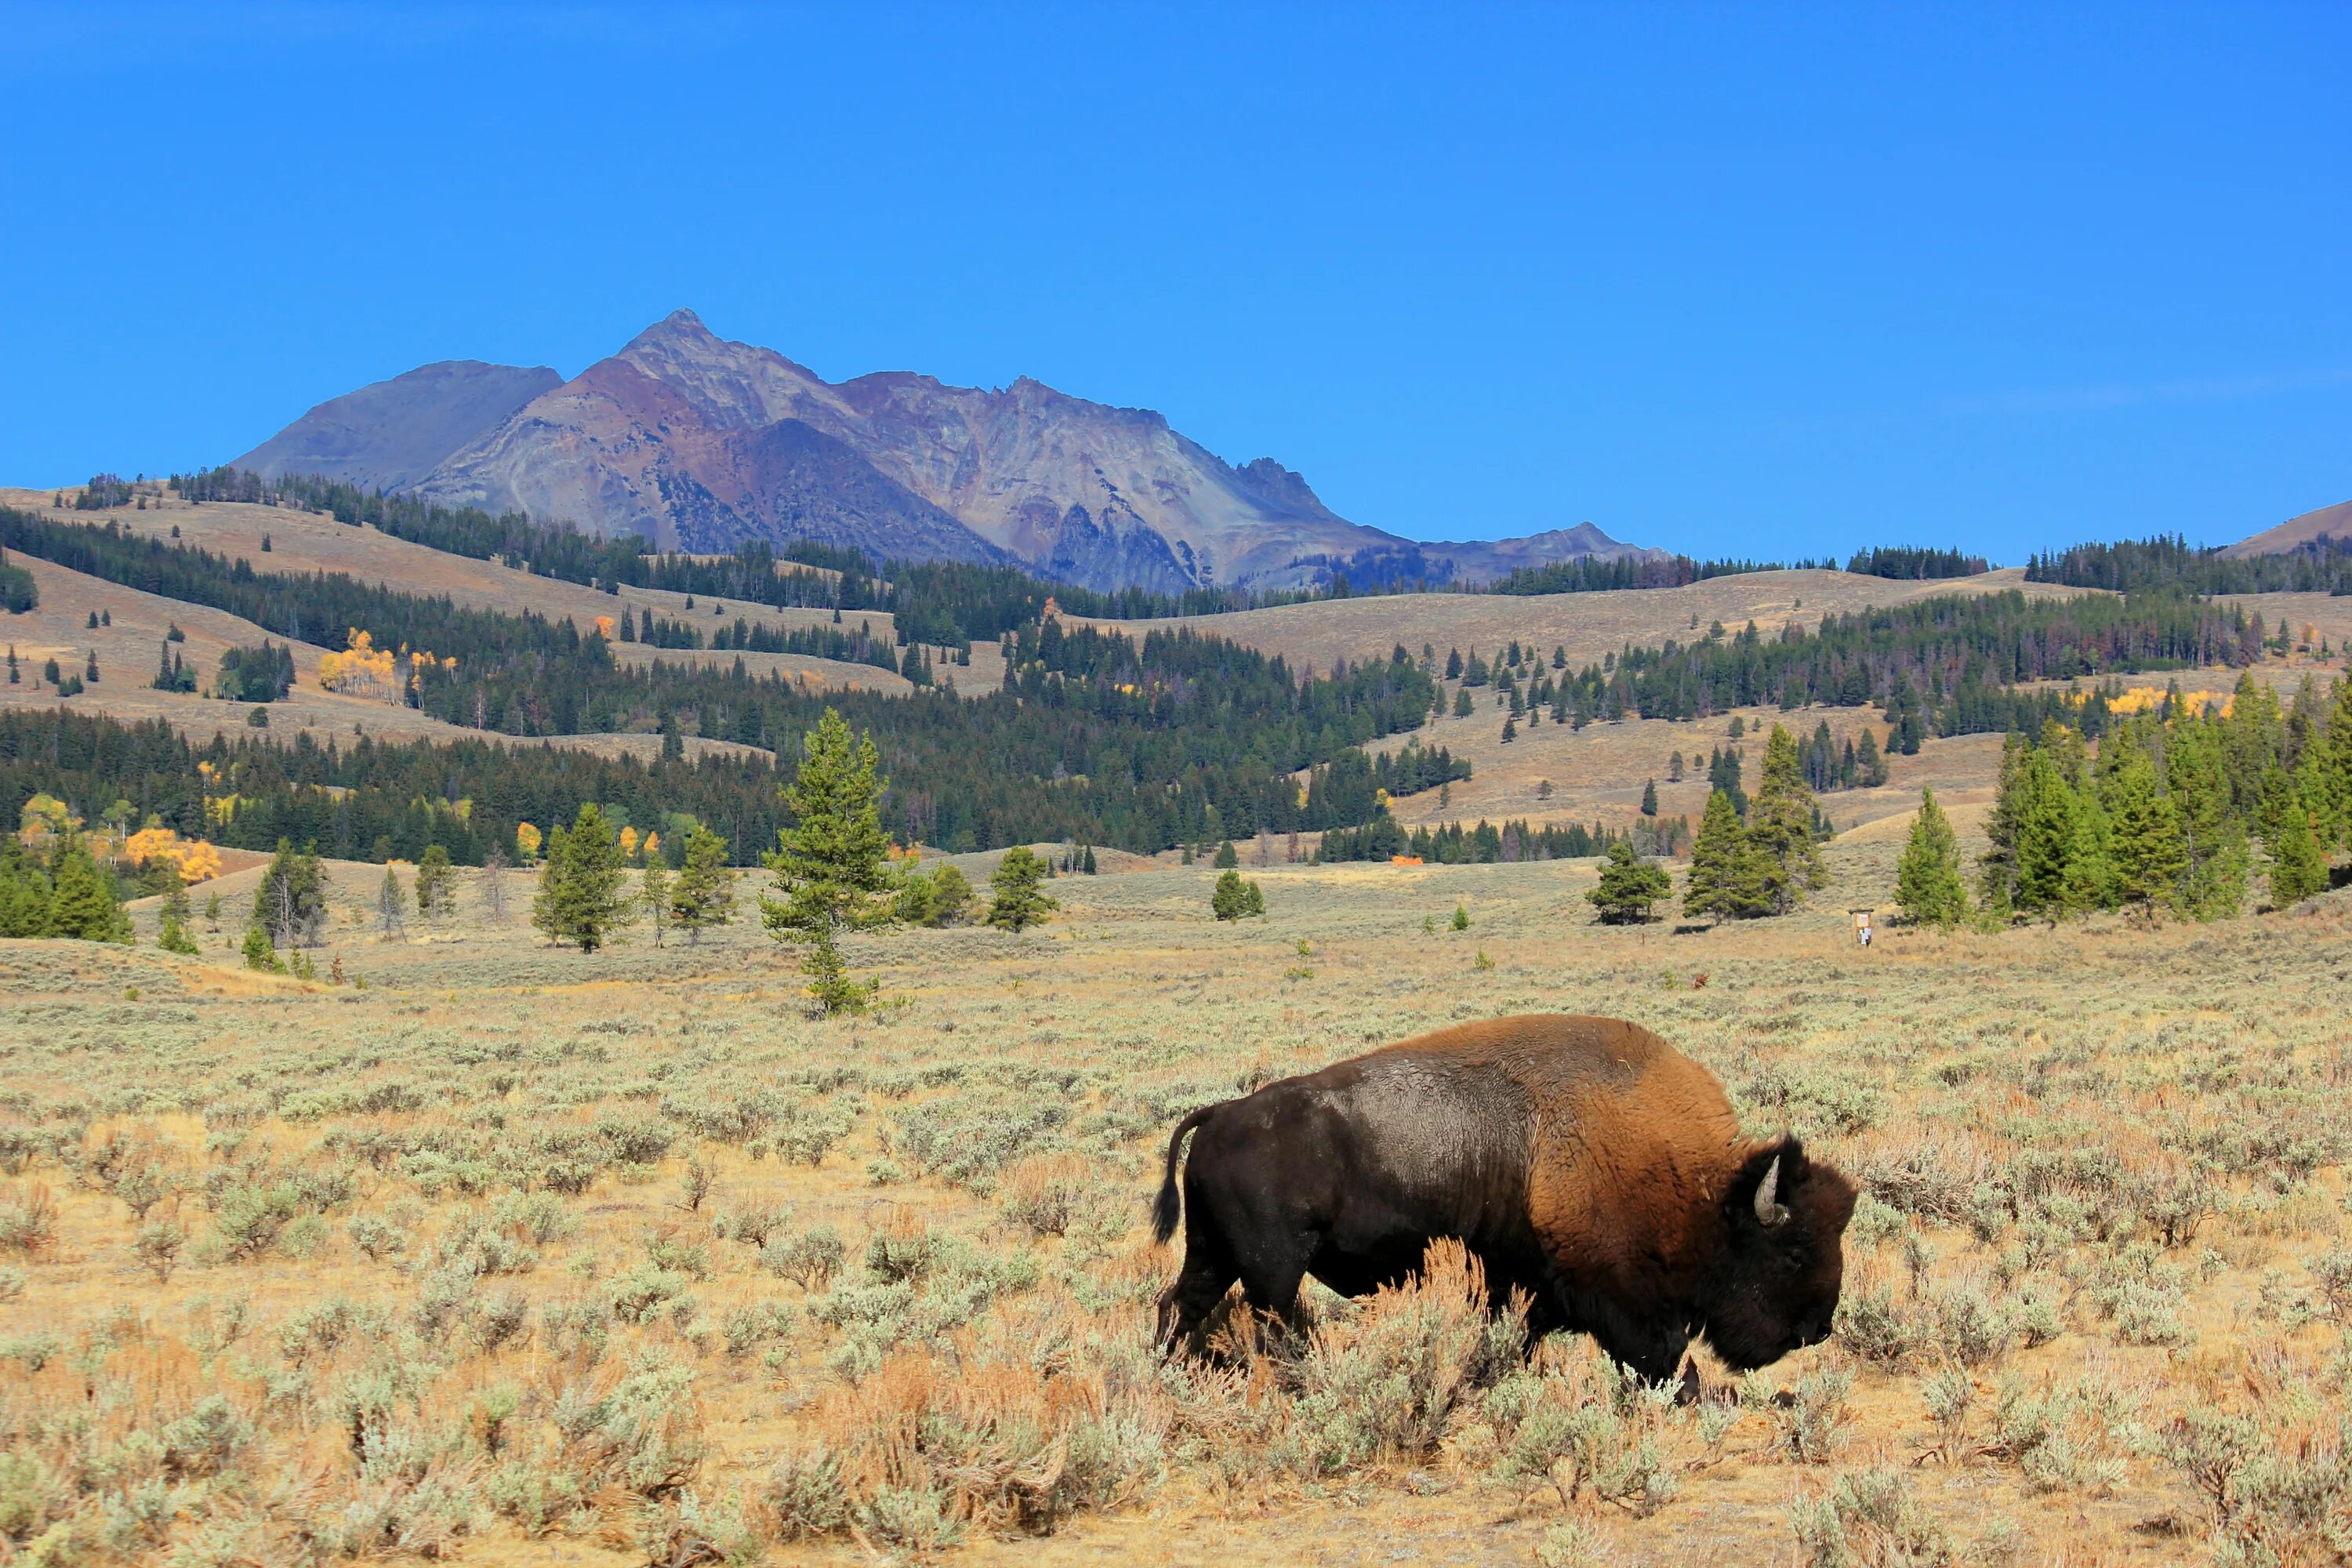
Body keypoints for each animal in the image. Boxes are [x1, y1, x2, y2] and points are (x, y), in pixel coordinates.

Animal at [1152, 1011, 1853, 1382]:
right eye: (1793, 1253)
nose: (1819, 1329)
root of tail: (1220, 1114)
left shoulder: (1521, 1290)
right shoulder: (1619, 1301)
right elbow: (1664, 1358)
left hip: (1214, 1253)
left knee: (1180, 1304)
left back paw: (1167, 1370)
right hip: (1274, 1267)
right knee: (1270, 1325)